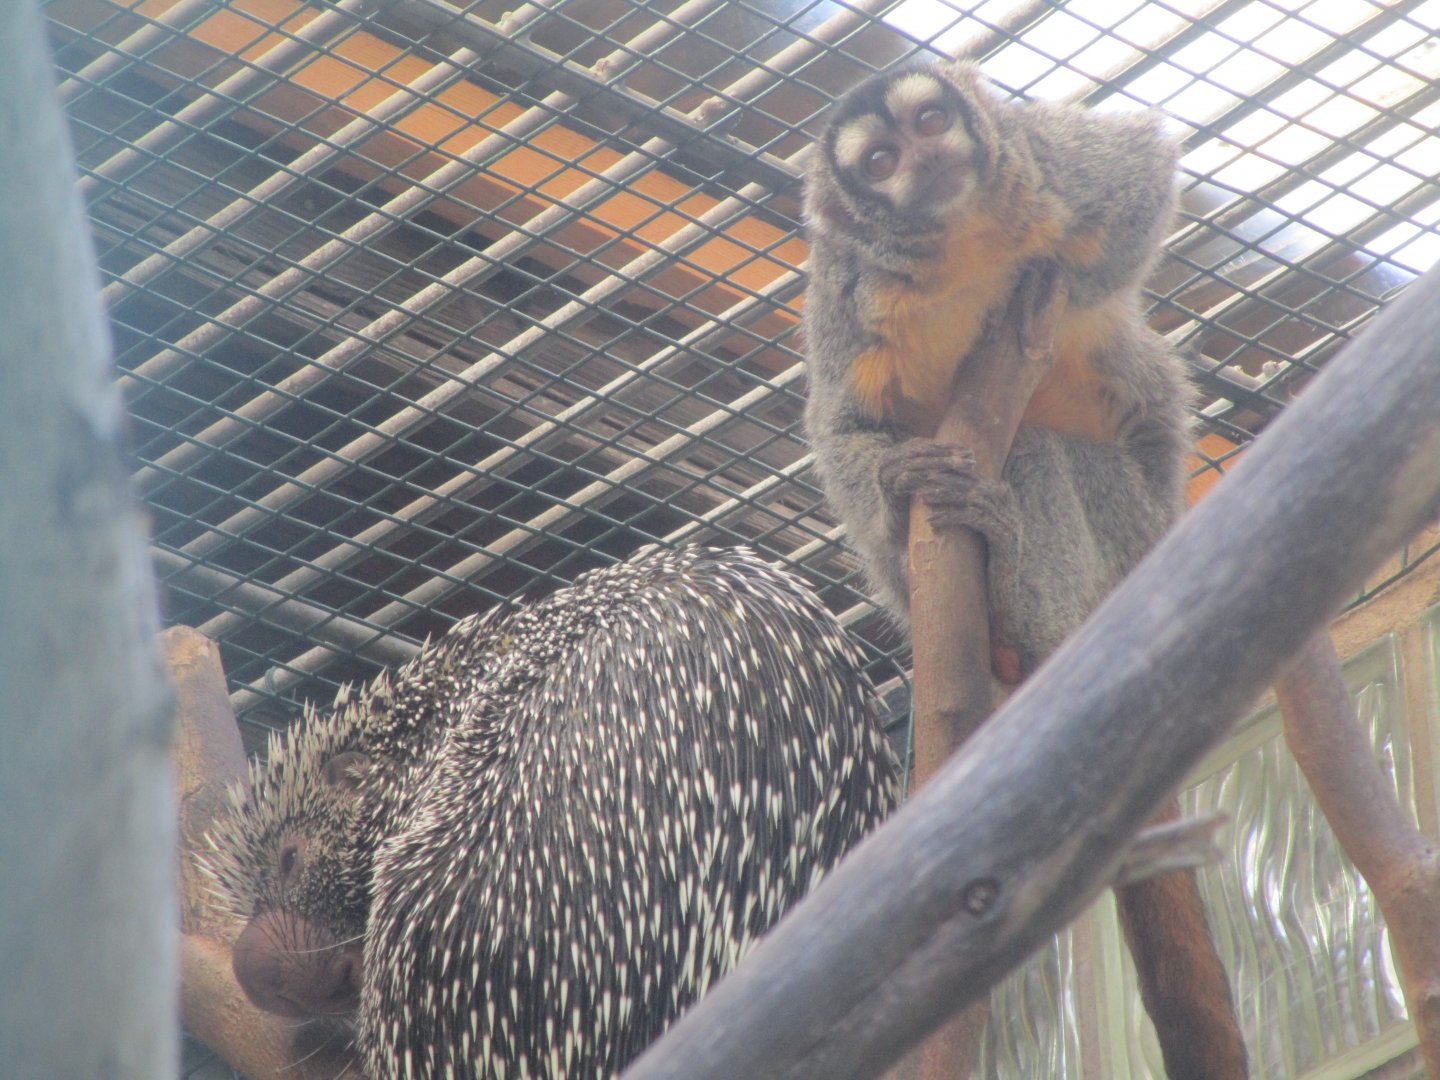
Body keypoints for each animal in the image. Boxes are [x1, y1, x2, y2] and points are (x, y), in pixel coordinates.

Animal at [801, 59, 1248, 1079]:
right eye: (880, 162)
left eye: (932, 122)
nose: (925, 159)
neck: (959, 249)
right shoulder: (849, 295)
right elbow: (843, 428)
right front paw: (894, 479)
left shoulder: (1044, 161)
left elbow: (1138, 178)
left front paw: (1058, 279)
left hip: (1129, 538)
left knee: (1044, 452)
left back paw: (1014, 571)